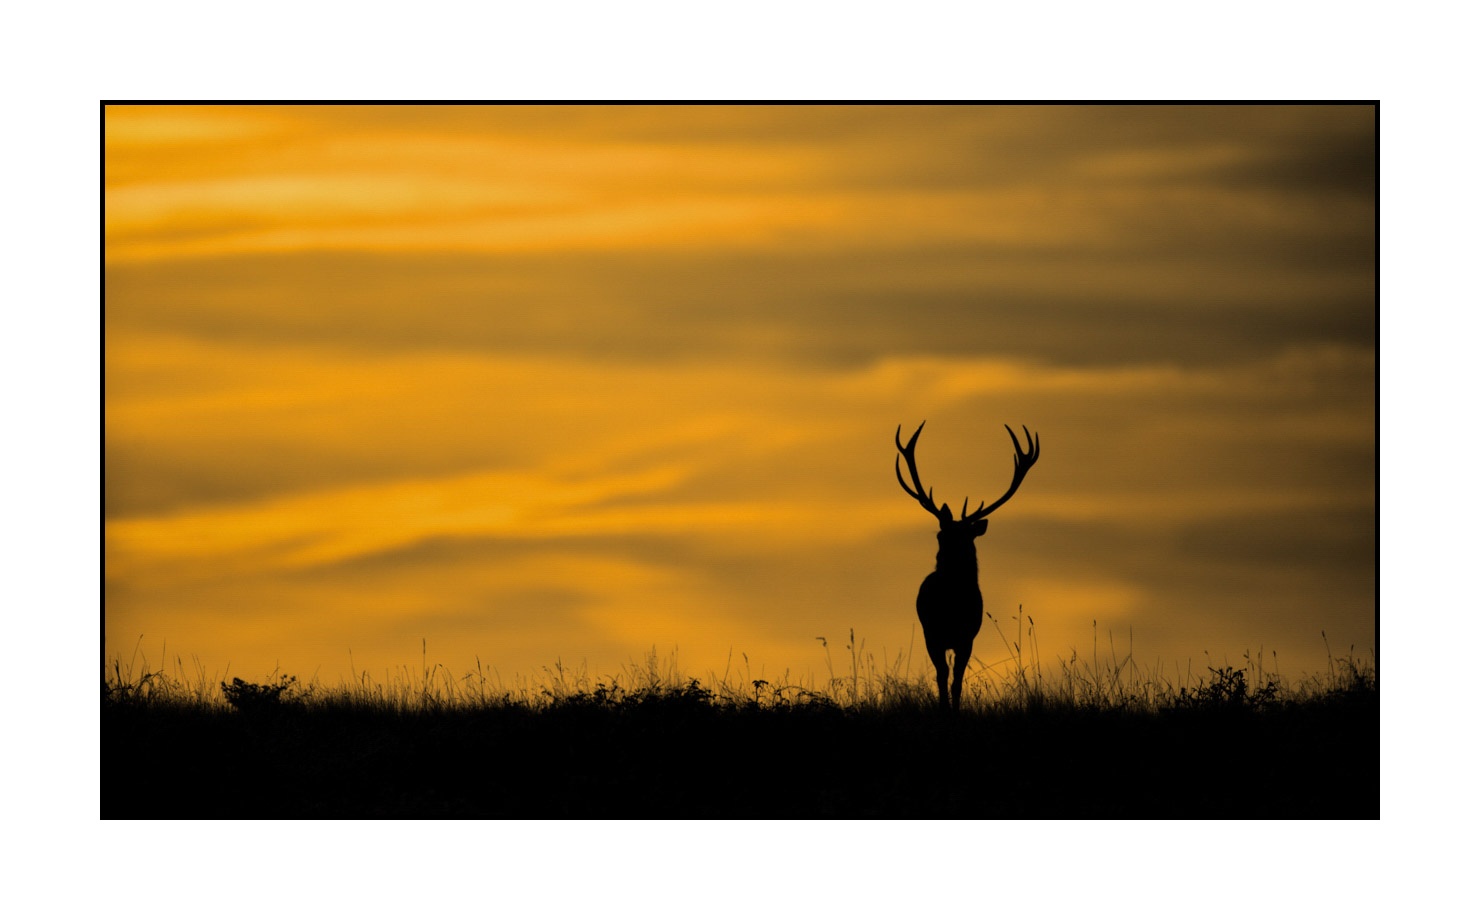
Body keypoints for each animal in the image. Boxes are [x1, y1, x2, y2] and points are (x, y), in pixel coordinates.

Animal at [895, 420, 1040, 711]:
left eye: (965, 537)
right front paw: (944, 708)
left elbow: (957, 680)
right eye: (940, 535)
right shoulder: (933, 634)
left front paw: (955, 708)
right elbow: (942, 676)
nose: (944, 560)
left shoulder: (967, 637)